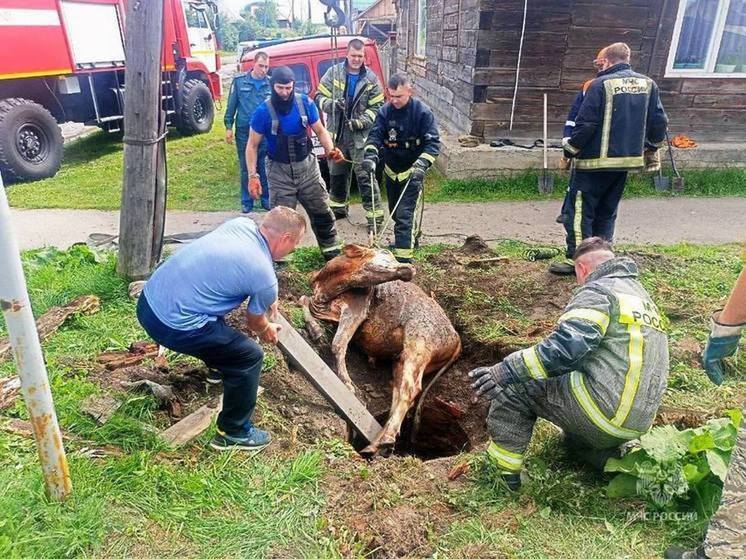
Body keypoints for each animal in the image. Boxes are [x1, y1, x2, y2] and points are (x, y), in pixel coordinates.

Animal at [296, 244, 460, 456]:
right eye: (385, 254)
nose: (409, 268)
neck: (327, 284)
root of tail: (456, 336)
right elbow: (304, 299)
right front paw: (316, 331)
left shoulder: (356, 309)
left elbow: (338, 343)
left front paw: (347, 383)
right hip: (401, 360)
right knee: (399, 390)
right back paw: (376, 444)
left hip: (418, 345)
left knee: (410, 389)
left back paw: (386, 439)